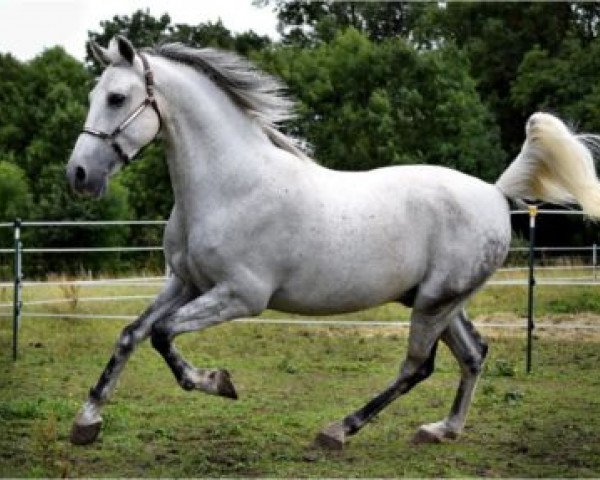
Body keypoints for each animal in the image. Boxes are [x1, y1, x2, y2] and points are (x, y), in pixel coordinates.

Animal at [65, 35, 600, 448]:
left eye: (116, 98)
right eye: (93, 95)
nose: (78, 174)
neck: (230, 185)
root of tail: (493, 192)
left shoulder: (240, 296)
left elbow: (162, 334)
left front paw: (218, 382)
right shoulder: (185, 284)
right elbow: (132, 333)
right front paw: (87, 420)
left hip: (435, 301)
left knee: (417, 367)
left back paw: (339, 430)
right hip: (439, 301)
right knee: (473, 354)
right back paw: (442, 430)